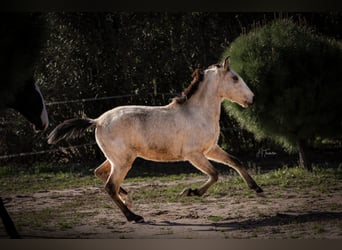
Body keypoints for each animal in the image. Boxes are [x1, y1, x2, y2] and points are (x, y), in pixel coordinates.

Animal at [47, 56, 262, 223]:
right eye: (235, 78)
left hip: (116, 159)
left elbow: (235, 161)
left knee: (100, 173)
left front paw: (256, 188)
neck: (197, 113)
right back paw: (133, 216)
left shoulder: (211, 149)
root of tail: (97, 120)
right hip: (123, 162)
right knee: (109, 186)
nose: (252, 99)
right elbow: (215, 174)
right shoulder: (194, 155)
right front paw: (190, 192)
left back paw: (128, 198)